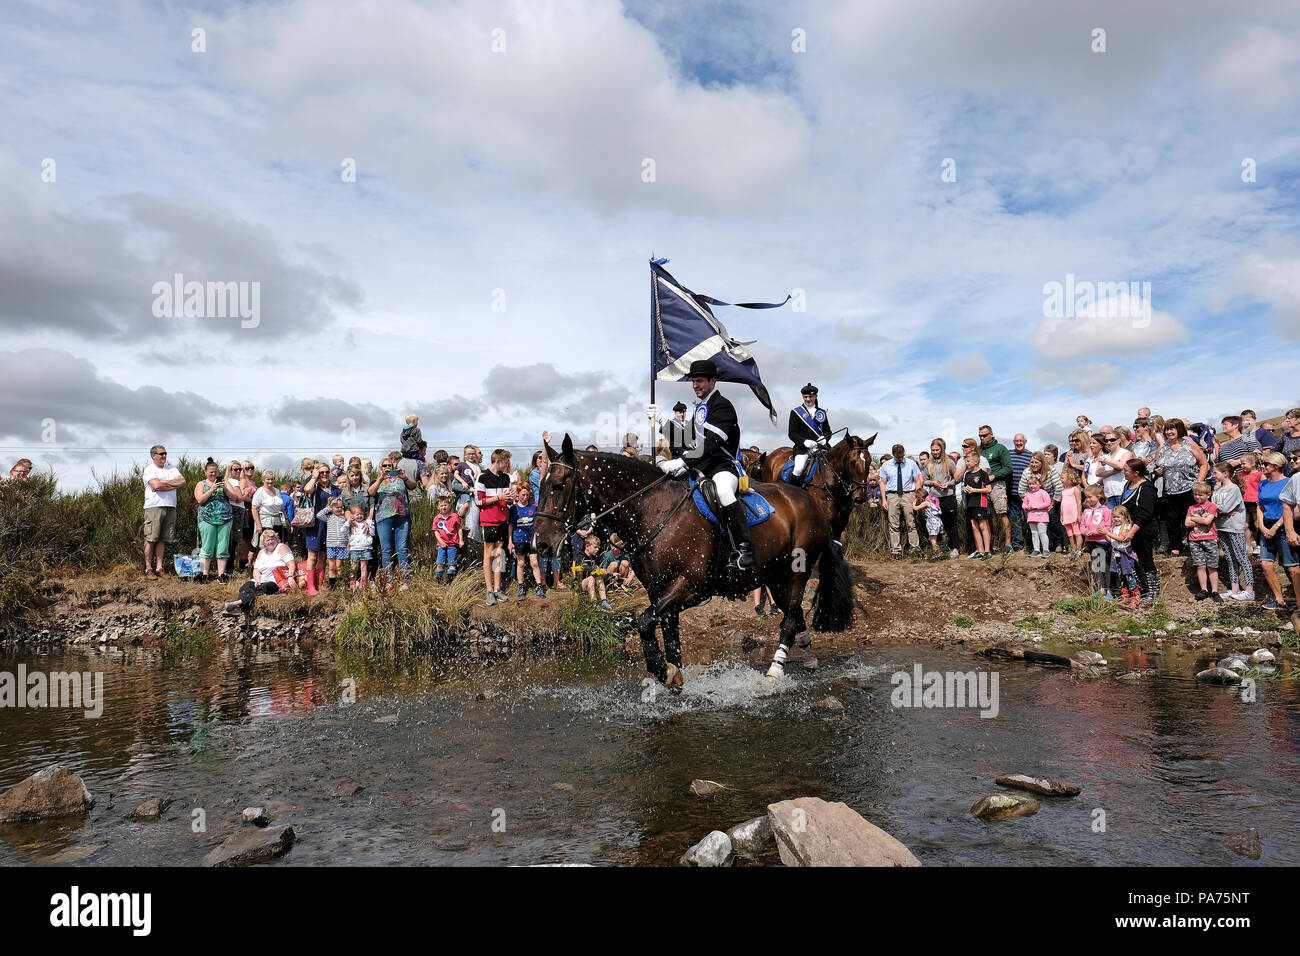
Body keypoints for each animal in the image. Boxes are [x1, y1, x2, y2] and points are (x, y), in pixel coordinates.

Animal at [527, 437, 852, 691]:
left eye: (559, 485)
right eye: (539, 486)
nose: (539, 544)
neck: (654, 510)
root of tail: (811, 501)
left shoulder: (688, 588)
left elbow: (644, 623)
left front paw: (664, 672)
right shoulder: (660, 593)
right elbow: (670, 640)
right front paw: (674, 678)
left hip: (796, 573)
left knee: (790, 620)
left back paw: (774, 672)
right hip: (775, 576)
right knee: (794, 615)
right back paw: (809, 658)